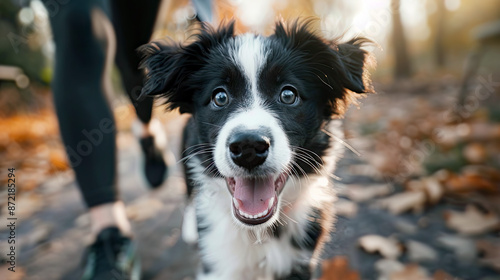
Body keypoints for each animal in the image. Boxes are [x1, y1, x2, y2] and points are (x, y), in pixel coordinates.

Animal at [139, 20, 374, 280]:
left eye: (288, 94)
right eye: (219, 97)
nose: (248, 147)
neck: (259, 232)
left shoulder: (299, 262)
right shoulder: (218, 266)